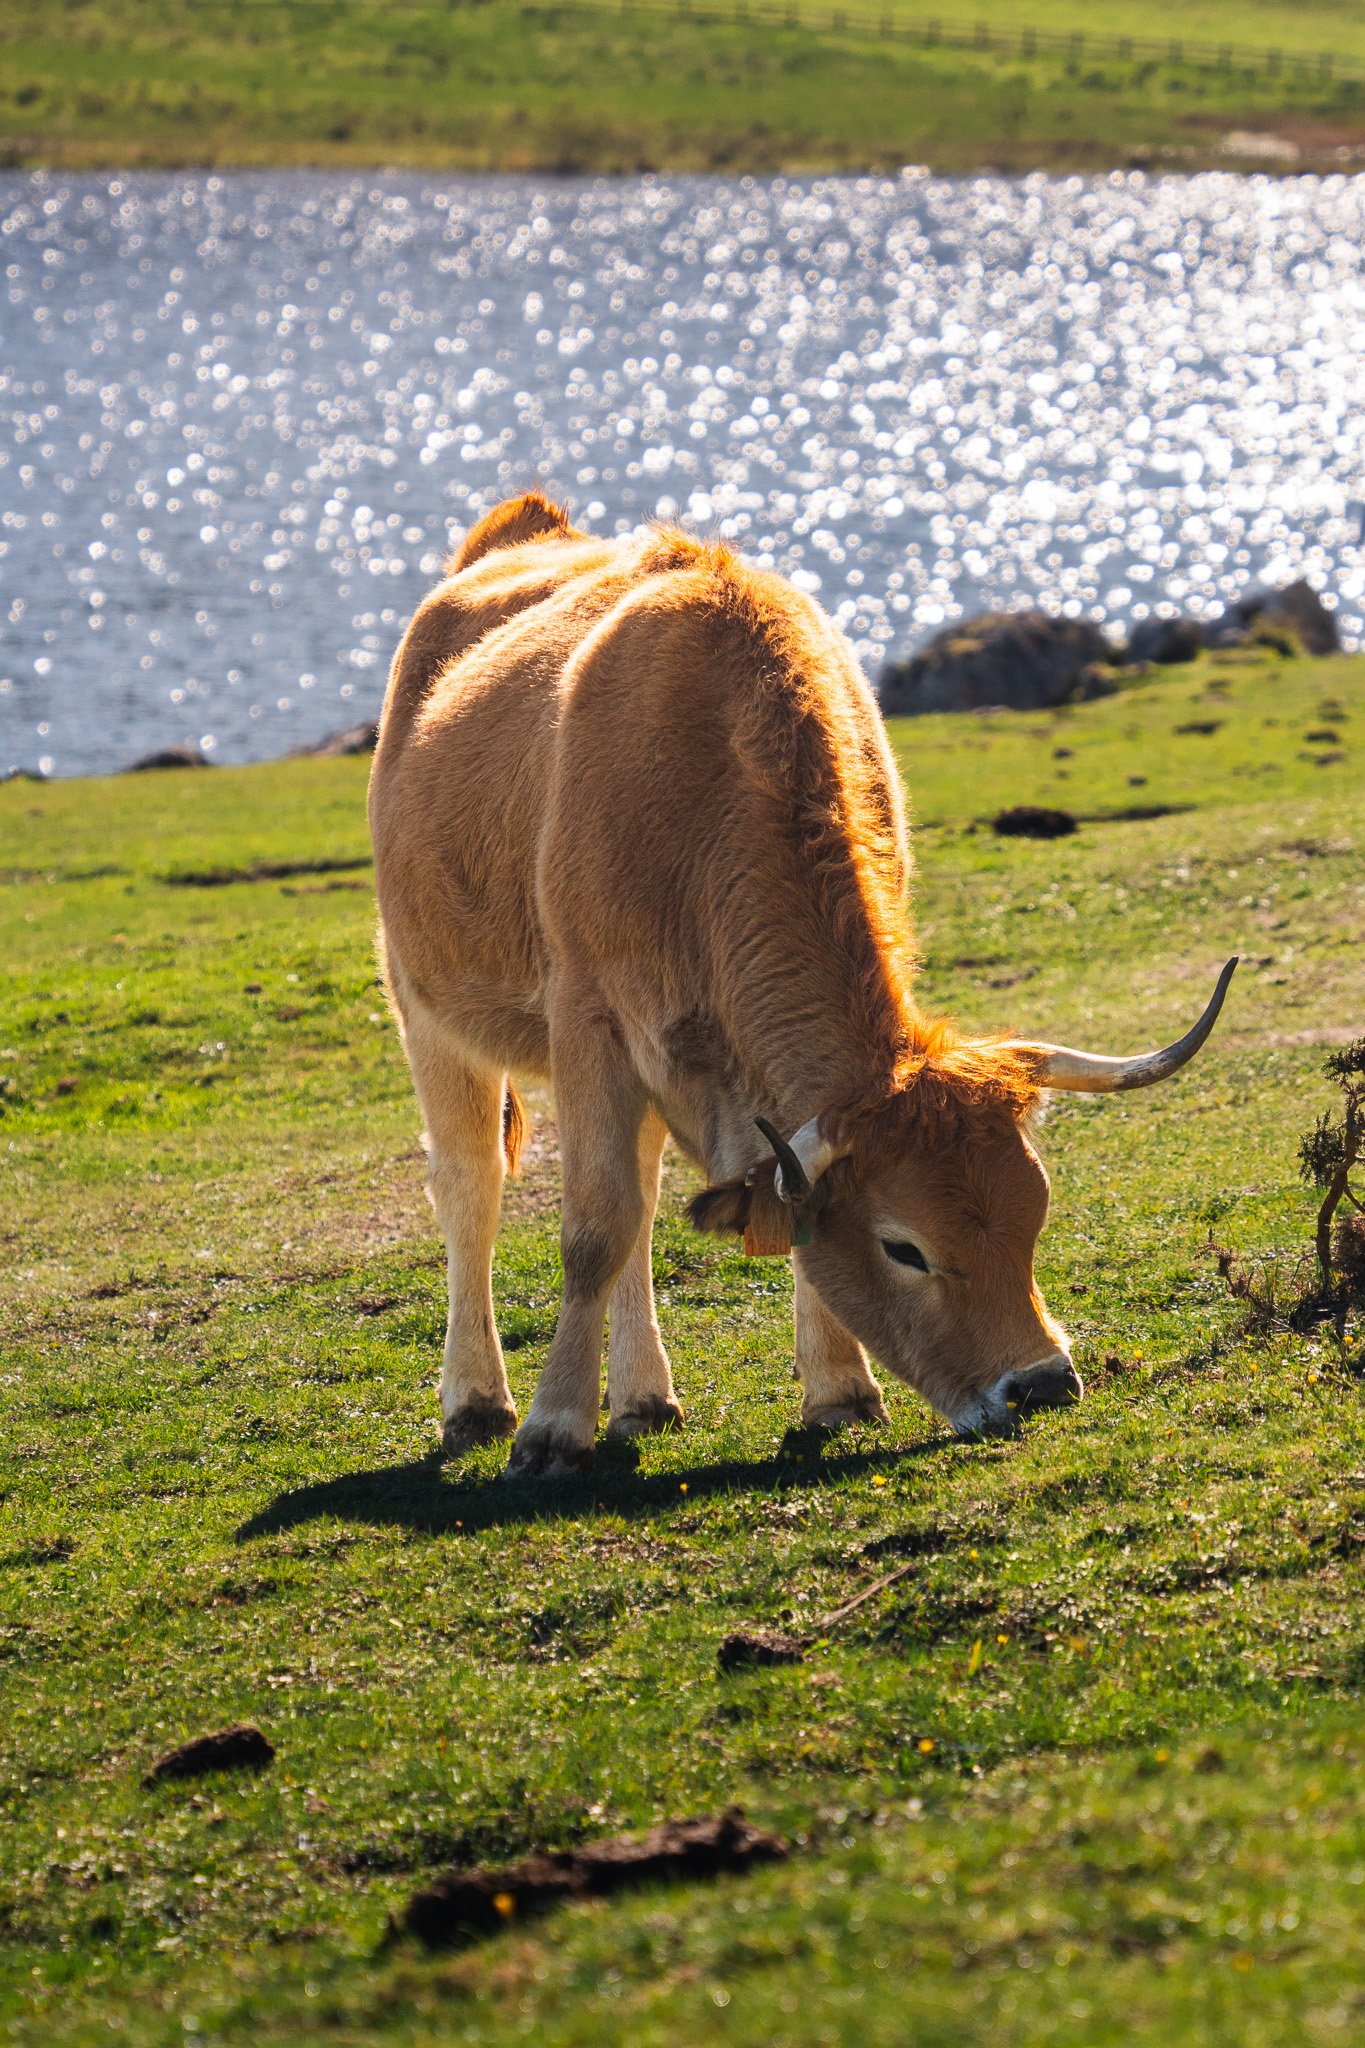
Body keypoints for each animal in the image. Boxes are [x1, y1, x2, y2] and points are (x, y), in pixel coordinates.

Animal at [368, 492, 1235, 1477]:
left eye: (1034, 1213)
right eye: (905, 1249)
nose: (1041, 1384)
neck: (700, 784)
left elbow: (740, 1215)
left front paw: (838, 1392)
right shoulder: (587, 1023)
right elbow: (593, 1229)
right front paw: (553, 1428)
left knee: (635, 1193)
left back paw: (644, 1398)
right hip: (428, 1009)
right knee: (471, 1186)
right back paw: (478, 1402)